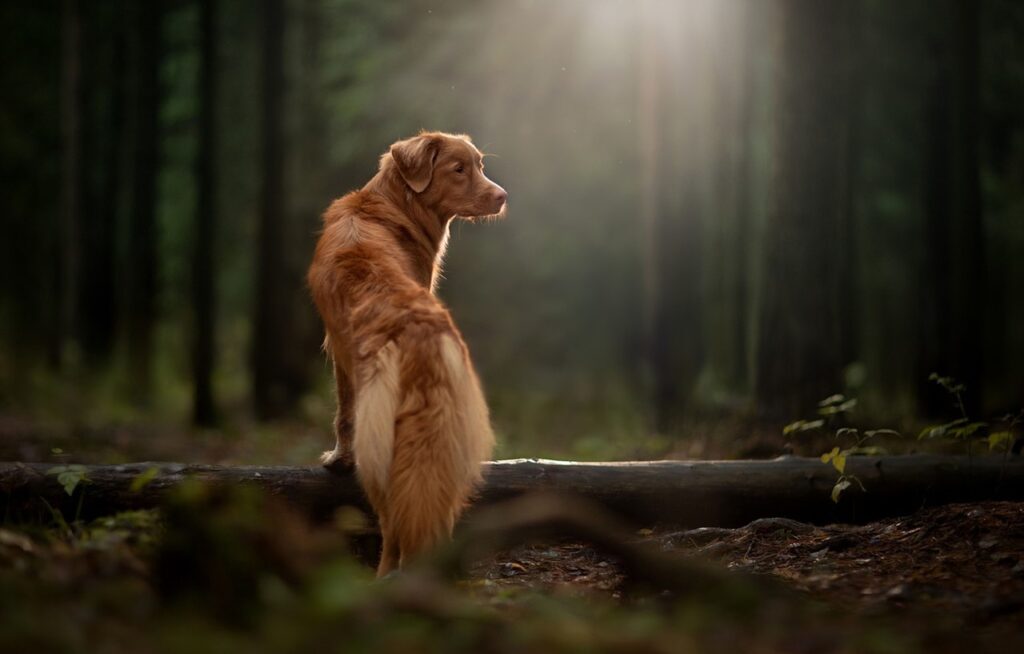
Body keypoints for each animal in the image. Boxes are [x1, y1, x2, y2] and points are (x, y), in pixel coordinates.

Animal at [307, 130, 507, 577]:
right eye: (459, 168)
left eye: (480, 165)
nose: (503, 196)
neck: (390, 204)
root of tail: (422, 333)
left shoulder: (339, 354)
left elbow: (342, 415)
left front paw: (336, 460)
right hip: (445, 445)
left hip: (381, 450)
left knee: (394, 523)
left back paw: (386, 577)